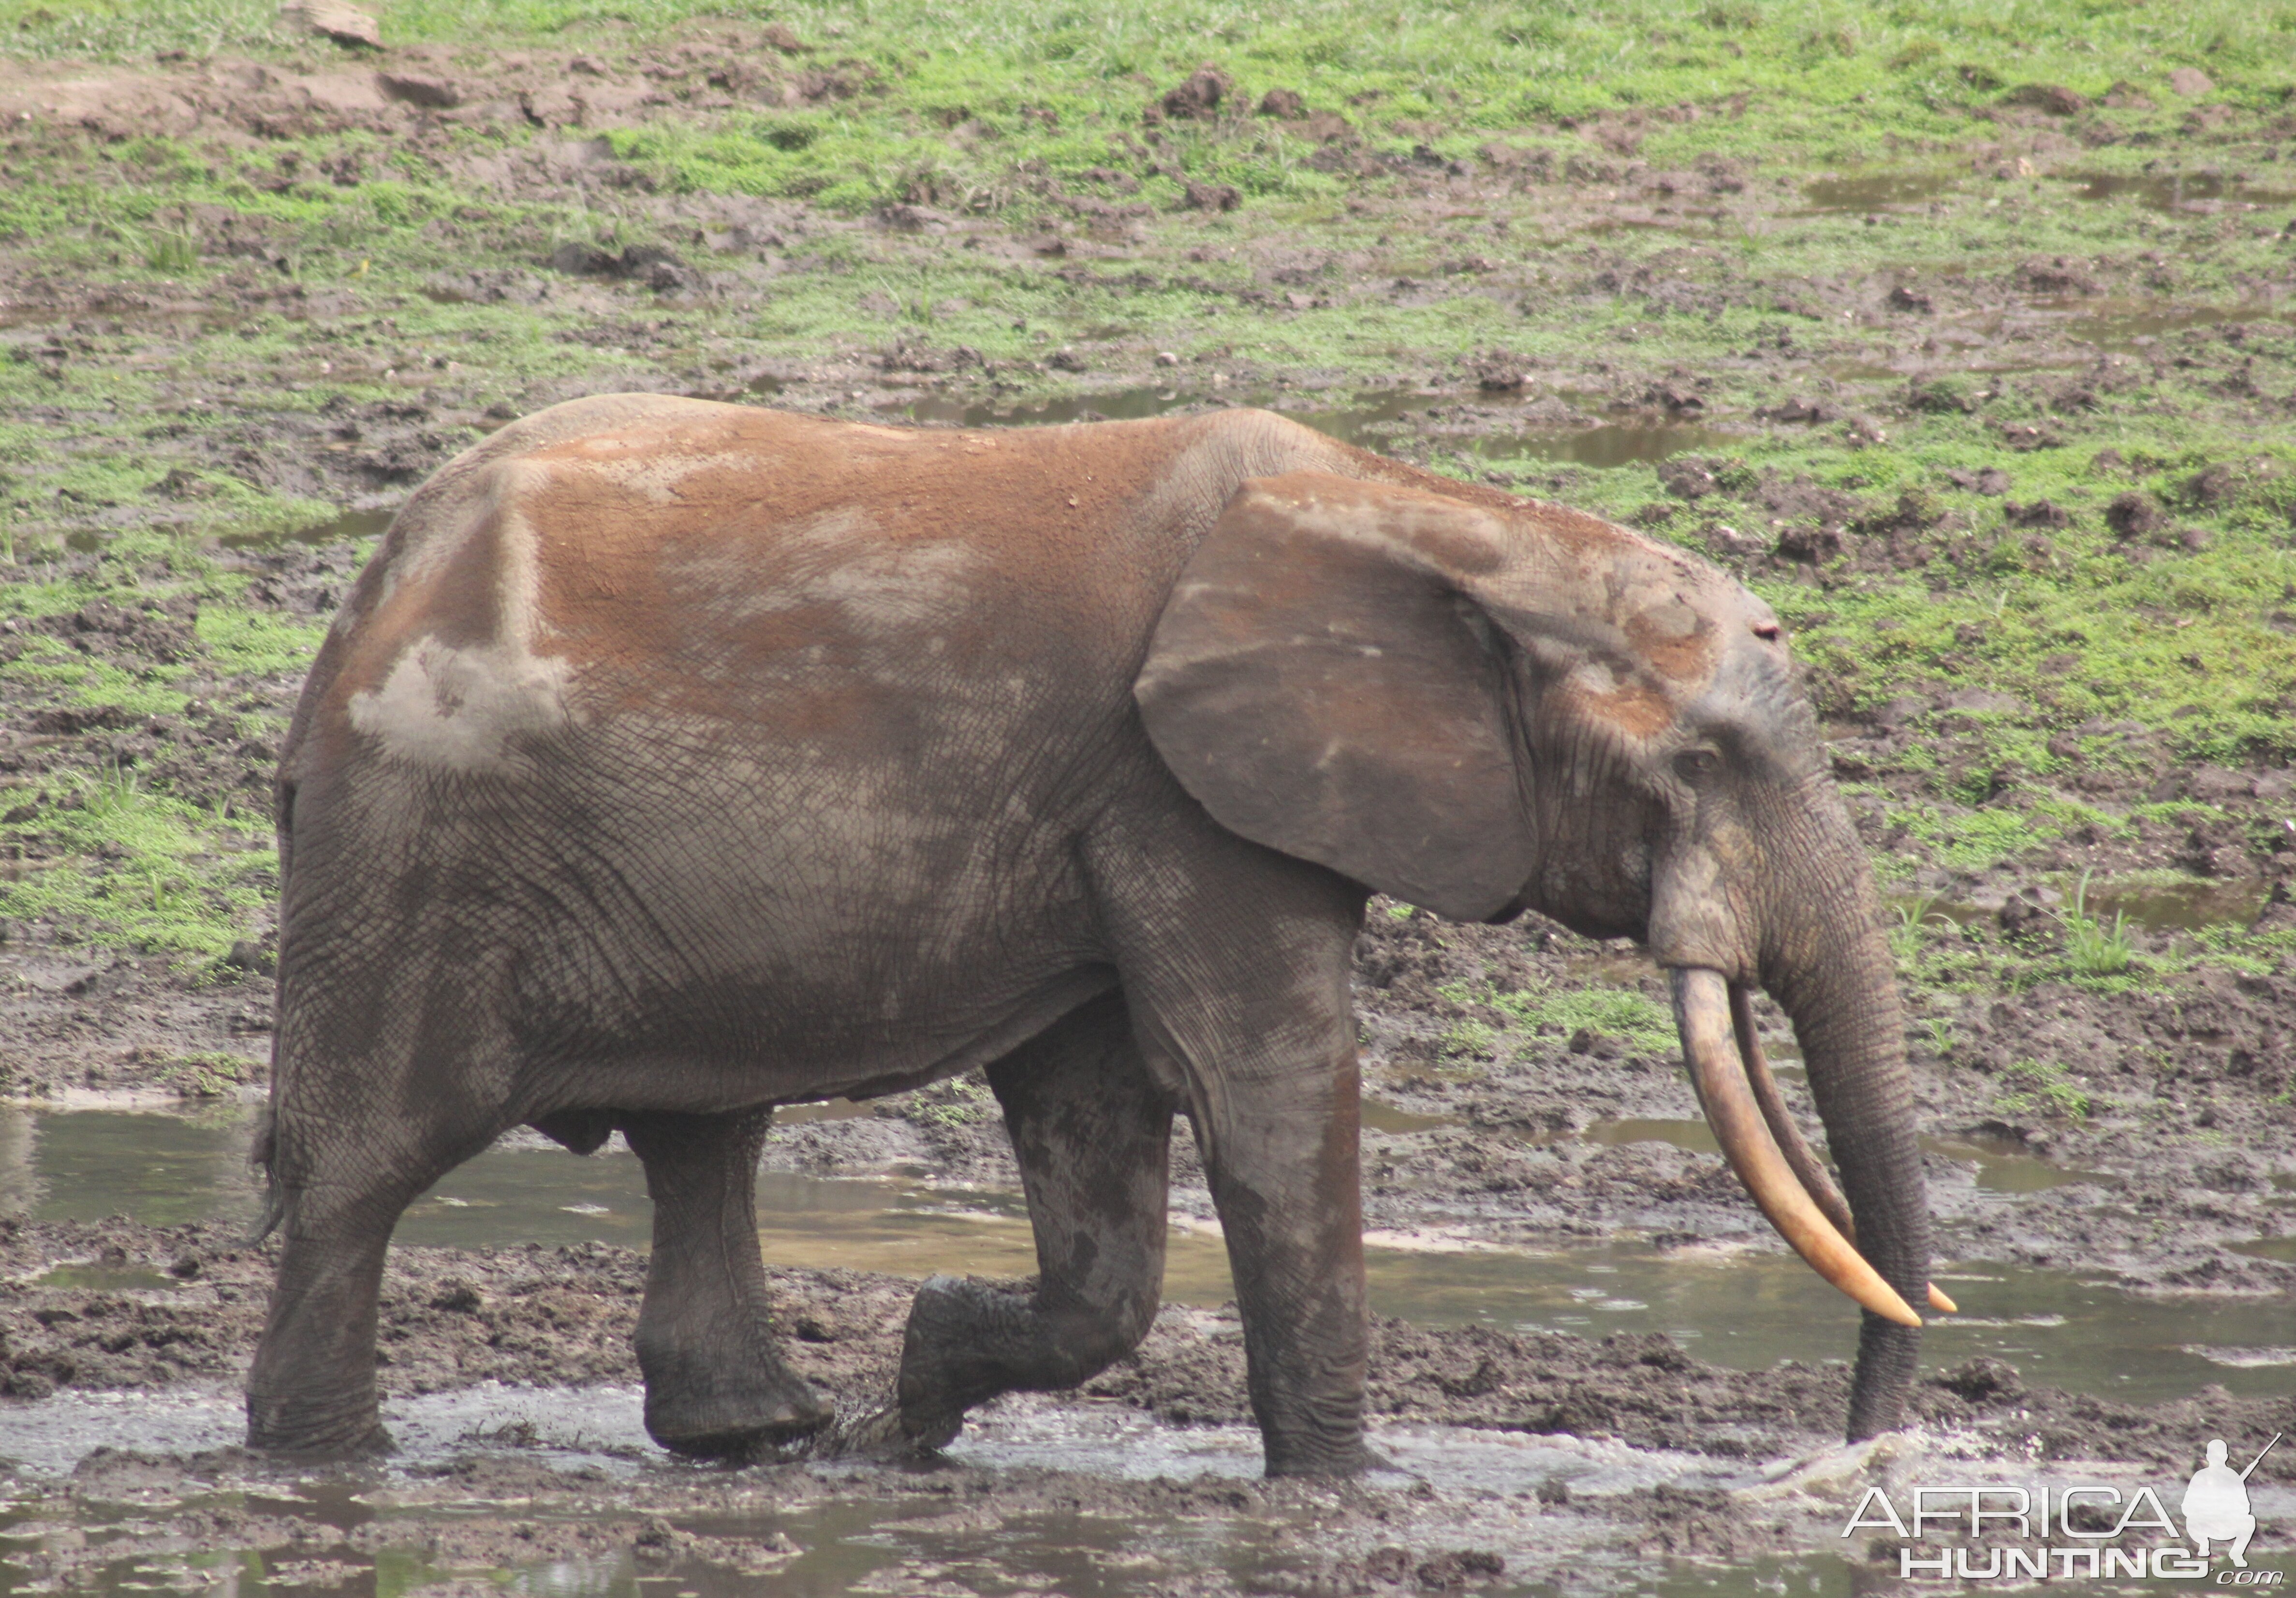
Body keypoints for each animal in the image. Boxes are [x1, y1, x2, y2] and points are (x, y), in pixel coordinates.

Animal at [251, 397, 1938, 1469]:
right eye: (1700, 768)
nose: (1850, 1463)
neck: (1449, 524)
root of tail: (365, 593)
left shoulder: (1124, 804)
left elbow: (1098, 1111)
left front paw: (912, 1401)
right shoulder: (1176, 787)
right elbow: (1260, 1080)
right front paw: (1343, 1493)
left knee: (701, 1135)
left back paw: (764, 1440)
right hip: (423, 837)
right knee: (365, 1166)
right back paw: (323, 1464)